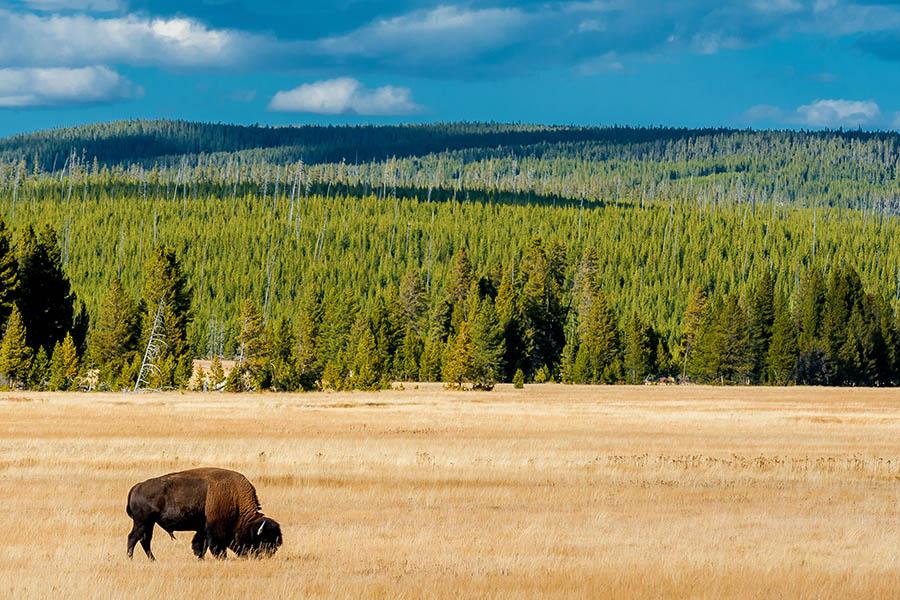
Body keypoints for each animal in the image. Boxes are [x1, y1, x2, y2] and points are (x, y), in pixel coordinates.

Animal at [126, 467, 282, 560]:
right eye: (263, 541)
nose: (265, 557)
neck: (235, 498)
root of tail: (137, 487)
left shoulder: (203, 529)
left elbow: (200, 544)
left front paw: (200, 557)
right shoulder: (215, 530)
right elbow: (215, 546)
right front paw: (222, 558)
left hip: (149, 523)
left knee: (144, 540)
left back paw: (153, 560)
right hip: (142, 522)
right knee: (134, 538)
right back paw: (131, 558)